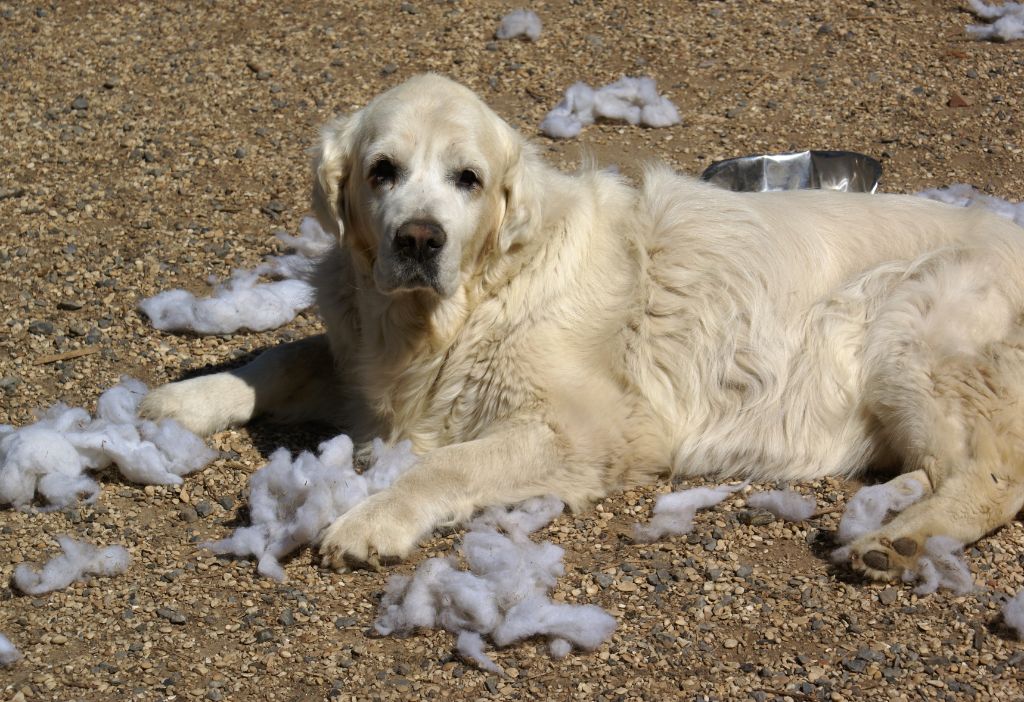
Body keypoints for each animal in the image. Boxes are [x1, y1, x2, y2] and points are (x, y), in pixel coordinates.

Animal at [144, 75, 1024, 581]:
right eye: (381, 171)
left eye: (467, 179)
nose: (419, 240)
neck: (461, 306)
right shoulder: (372, 364)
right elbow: (285, 358)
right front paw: (184, 400)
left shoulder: (585, 428)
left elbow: (448, 464)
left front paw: (371, 519)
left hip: (908, 326)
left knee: (994, 475)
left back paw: (902, 542)